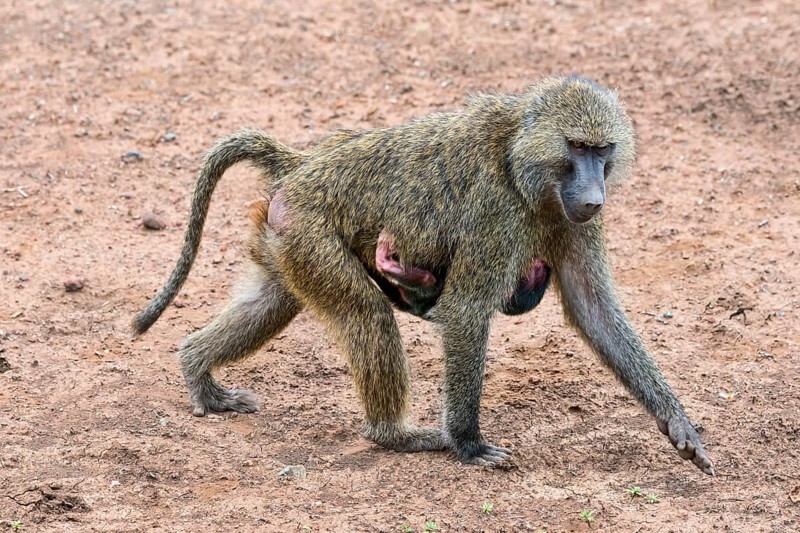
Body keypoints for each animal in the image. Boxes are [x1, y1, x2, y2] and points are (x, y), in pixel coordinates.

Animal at [133, 76, 714, 475]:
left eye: (602, 150)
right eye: (576, 148)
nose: (595, 198)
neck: (521, 162)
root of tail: (302, 167)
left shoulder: (573, 224)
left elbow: (595, 312)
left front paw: (676, 424)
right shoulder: (496, 213)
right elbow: (464, 312)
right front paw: (469, 444)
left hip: (287, 239)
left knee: (272, 303)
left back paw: (199, 372)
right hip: (310, 230)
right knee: (366, 314)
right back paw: (395, 435)